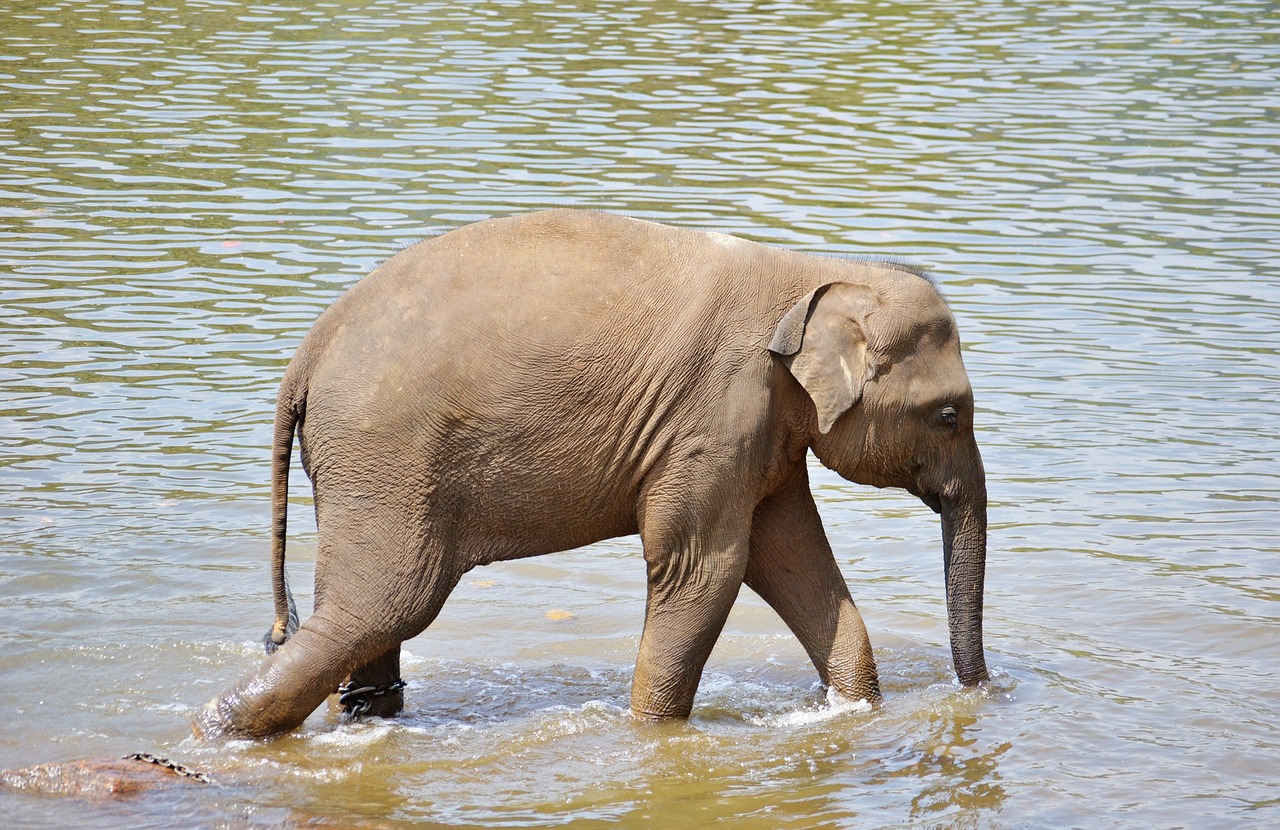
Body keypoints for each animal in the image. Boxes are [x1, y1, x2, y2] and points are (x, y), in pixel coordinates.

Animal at [192, 208, 988, 737]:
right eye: (949, 416)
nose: (984, 692)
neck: (812, 273)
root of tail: (309, 350)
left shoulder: (765, 435)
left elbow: (790, 557)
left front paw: (853, 708)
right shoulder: (714, 415)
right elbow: (705, 569)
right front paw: (652, 736)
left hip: (363, 464)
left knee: (359, 617)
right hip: (385, 452)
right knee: (385, 606)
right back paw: (217, 734)